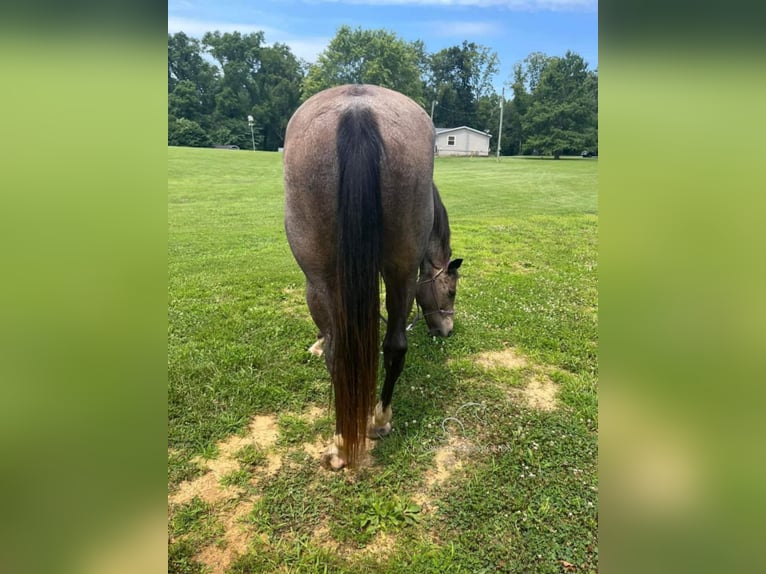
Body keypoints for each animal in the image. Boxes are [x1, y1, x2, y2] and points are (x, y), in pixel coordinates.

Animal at [282, 86, 462, 472]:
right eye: (451, 291)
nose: (447, 330)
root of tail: (358, 109)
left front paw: (316, 341)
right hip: (396, 273)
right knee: (389, 346)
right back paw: (371, 424)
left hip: (329, 278)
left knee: (351, 351)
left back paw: (354, 435)